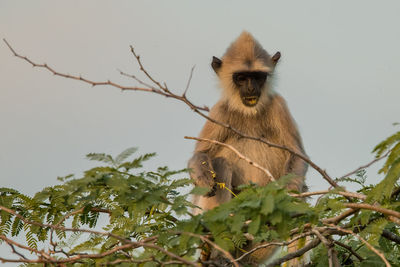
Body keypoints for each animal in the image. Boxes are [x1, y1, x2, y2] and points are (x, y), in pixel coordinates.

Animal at [189, 31, 308, 266]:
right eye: (242, 78)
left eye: (258, 77)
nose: (252, 88)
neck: (249, 112)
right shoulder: (220, 111)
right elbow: (200, 154)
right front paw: (203, 176)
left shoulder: (278, 105)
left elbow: (297, 156)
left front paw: (289, 195)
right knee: (221, 163)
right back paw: (216, 252)